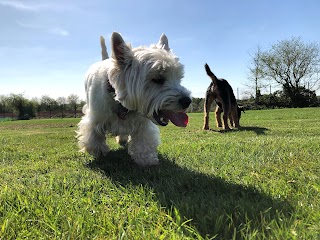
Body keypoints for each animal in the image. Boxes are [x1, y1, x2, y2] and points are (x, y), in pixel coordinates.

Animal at [77, 31, 192, 166]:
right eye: (157, 79)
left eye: (179, 78)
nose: (187, 101)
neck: (119, 103)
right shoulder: (94, 119)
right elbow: (93, 137)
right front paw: (99, 151)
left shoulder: (142, 124)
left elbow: (143, 142)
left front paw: (146, 160)